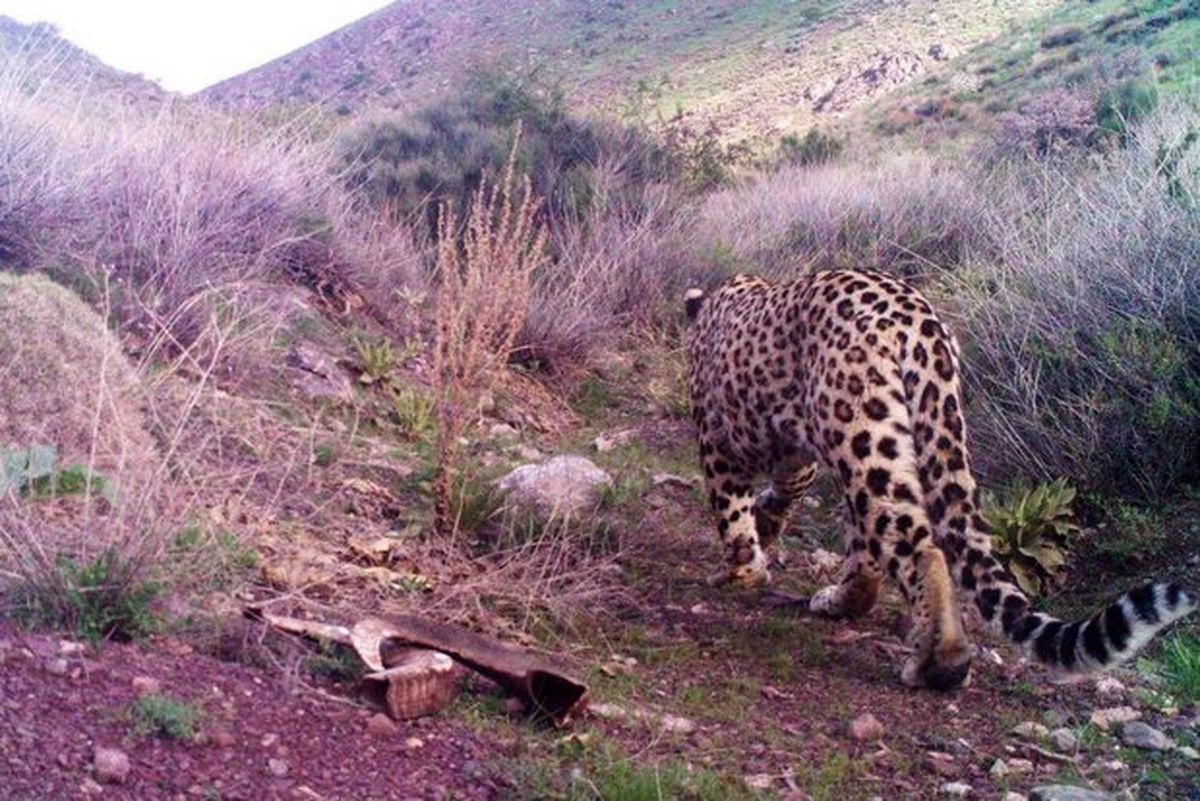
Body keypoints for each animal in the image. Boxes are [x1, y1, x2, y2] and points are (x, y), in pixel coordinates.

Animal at [691, 268, 1195, 690]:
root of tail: (918, 319)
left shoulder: (718, 442)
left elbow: (731, 512)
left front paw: (737, 572)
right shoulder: (796, 455)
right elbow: (776, 498)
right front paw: (763, 533)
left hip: (861, 436)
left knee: (918, 545)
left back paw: (940, 661)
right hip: (883, 441)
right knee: (874, 542)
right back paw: (844, 601)